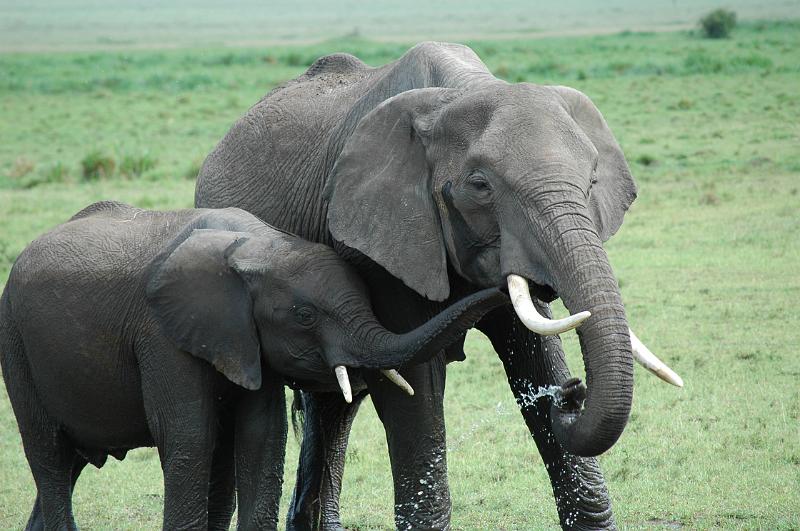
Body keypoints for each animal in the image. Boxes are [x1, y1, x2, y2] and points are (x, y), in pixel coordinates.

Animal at [0, 200, 508, 530]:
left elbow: (262, 434)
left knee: (68, 463)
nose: (502, 283)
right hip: (15, 344)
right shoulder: (163, 334)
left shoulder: (247, 341)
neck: (258, 246)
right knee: (47, 453)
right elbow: (190, 435)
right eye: (304, 316)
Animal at [195, 42, 681, 529]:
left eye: (592, 181)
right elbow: (415, 387)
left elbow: (536, 354)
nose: (573, 394)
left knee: (336, 402)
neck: (463, 90)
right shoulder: (382, 242)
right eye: (480, 185)